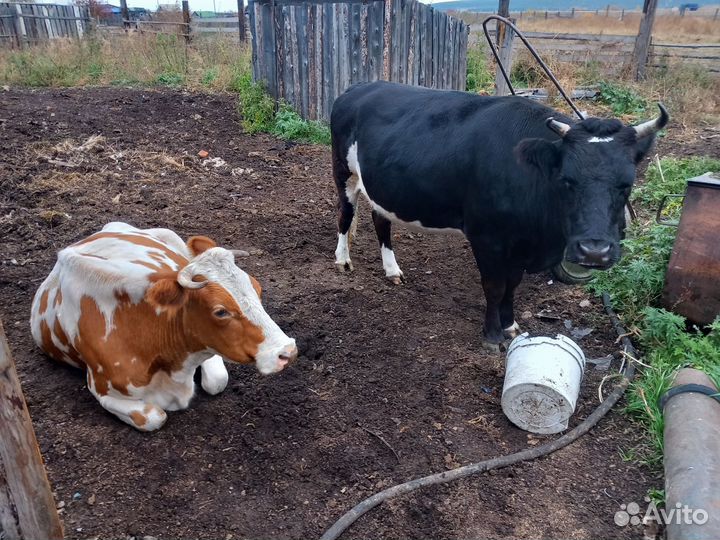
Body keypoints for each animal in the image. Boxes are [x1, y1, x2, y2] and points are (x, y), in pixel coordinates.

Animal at [30, 222, 297, 431]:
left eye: (258, 289)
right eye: (220, 311)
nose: (288, 351)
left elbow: (217, 380)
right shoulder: (101, 389)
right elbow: (154, 417)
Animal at [330, 81, 668, 351]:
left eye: (627, 184)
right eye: (566, 180)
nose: (594, 251)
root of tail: (359, 87)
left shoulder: (519, 244)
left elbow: (512, 284)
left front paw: (510, 325)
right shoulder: (487, 237)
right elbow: (494, 285)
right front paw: (492, 335)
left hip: (381, 188)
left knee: (380, 220)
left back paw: (392, 270)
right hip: (343, 172)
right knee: (345, 214)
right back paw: (343, 260)